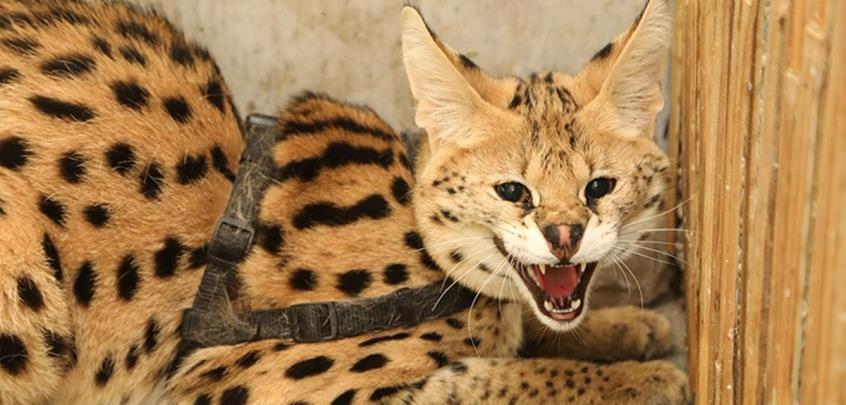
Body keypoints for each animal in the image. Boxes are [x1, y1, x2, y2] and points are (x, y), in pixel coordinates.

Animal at [0, 0, 688, 404]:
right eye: (513, 191)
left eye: (599, 187)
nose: (564, 238)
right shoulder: (252, 379)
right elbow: (488, 376)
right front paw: (645, 379)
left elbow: (529, 331)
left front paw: (630, 327)